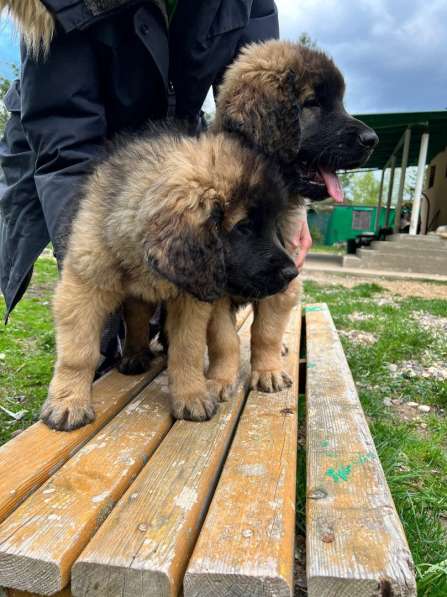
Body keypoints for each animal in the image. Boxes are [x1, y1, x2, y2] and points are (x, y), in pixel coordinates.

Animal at [39, 128, 298, 430]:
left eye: (273, 226)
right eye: (243, 227)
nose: (292, 273)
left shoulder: (192, 298)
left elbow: (188, 349)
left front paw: (192, 396)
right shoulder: (83, 287)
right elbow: (78, 353)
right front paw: (68, 402)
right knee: (137, 320)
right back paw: (135, 355)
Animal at [206, 39, 378, 392]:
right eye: (312, 103)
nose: (373, 140)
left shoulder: (286, 274)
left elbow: (267, 330)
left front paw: (268, 371)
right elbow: (224, 339)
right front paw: (220, 378)